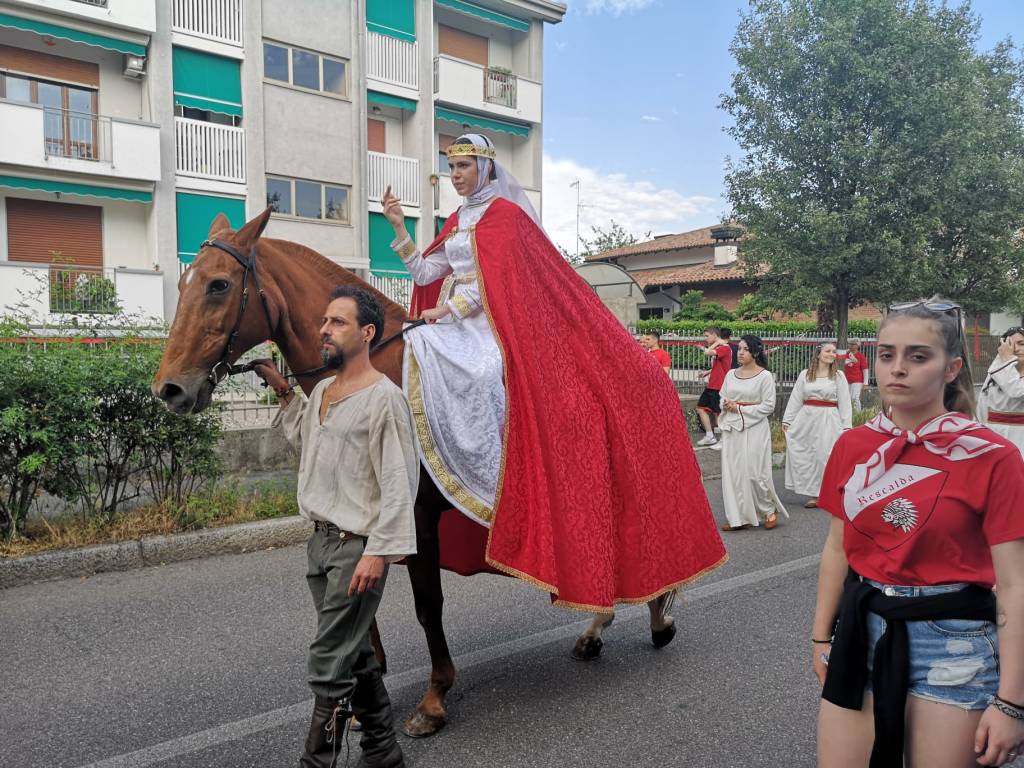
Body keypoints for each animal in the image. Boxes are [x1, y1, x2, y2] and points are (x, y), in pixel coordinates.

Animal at [151, 208, 679, 741]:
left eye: (219, 285)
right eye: (184, 282)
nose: (169, 389)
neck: (369, 370)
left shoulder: (419, 517)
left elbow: (428, 606)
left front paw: (434, 697)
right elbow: (359, 599)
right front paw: (362, 690)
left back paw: (655, 616)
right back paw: (599, 627)